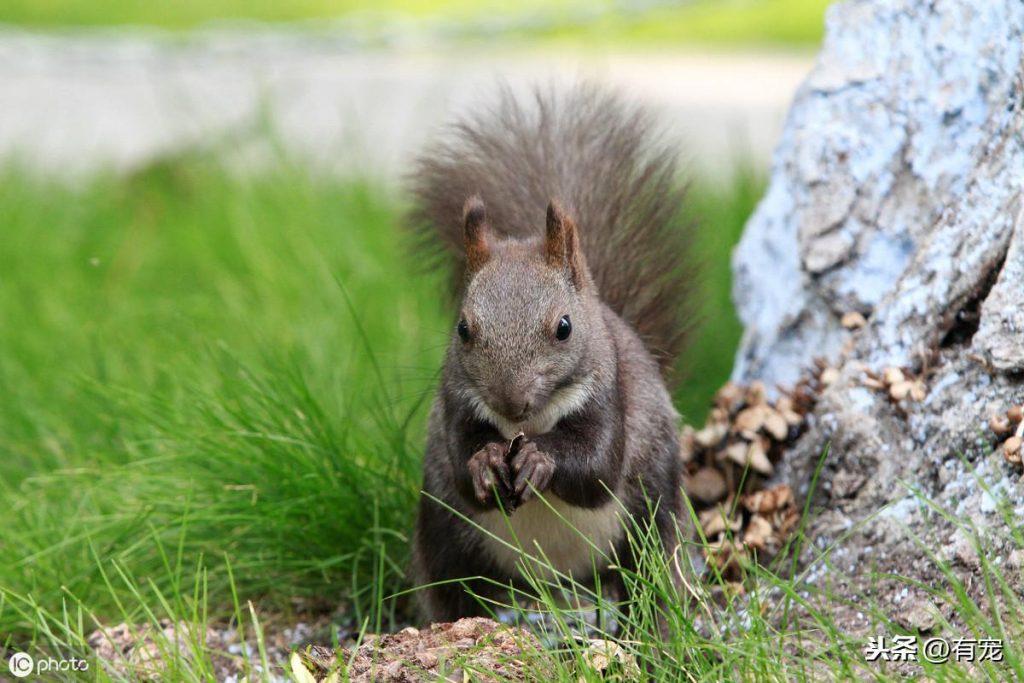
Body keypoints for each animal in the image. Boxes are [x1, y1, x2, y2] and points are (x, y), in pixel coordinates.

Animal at [409, 85, 696, 626]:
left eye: (564, 328)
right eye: (463, 328)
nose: (510, 401)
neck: (529, 422)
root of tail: (557, 582)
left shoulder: (610, 395)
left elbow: (598, 467)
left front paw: (541, 459)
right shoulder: (456, 403)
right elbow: (461, 465)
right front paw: (485, 461)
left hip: (650, 523)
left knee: (647, 582)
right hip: (445, 538)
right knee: (456, 591)